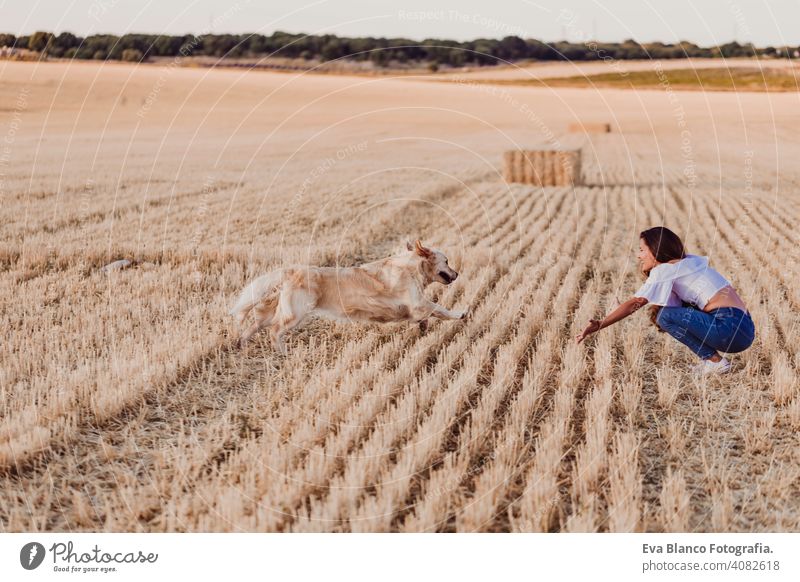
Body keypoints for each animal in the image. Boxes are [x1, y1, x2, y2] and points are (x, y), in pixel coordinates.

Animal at [228, 241, 468, 354]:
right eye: (447, 261)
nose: (457, 274)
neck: (411, 267)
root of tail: (292, 270)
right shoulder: (417, 302)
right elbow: (439, 308)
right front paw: (461, 313)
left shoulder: (414, 306)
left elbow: (427, 315)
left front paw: (423, 326)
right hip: (296, 312)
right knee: (275, 330)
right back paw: (283, 352)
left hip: (282, 308)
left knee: (257, 322)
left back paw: (241, 343)